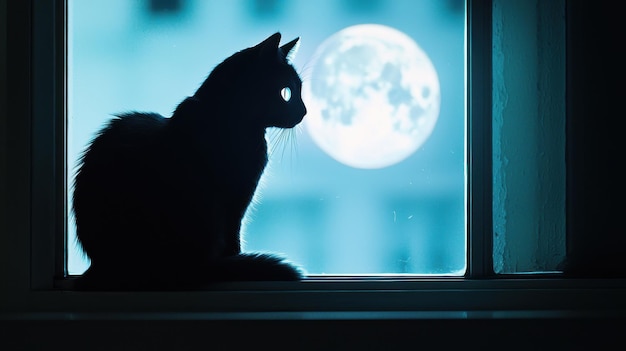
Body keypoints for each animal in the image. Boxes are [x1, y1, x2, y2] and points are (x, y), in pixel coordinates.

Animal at [72, 32, 306, 292]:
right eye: (286, 93)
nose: (304, 112)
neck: (226, 117)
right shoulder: (236, 201)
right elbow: (234, 238)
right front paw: (238, 259)